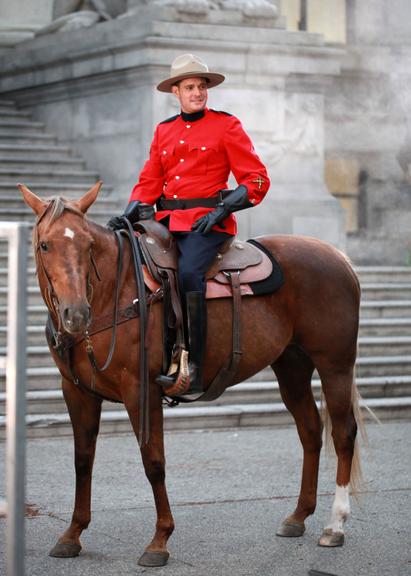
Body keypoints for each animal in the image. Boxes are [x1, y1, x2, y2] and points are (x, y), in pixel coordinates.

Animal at [18, 183, 364, 568]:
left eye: (88, 245)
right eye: (45, 245)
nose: (76, 313)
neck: (113, 292)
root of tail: (338, 255)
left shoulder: (141, 389)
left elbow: (153, 461)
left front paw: (160, 539)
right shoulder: (76, 391)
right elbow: (82, 460)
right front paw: (72, 533)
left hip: (334, 365)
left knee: (343, 434)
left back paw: (335, 524)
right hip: (291, 366)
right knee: (310, 431)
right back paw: (299, 515)